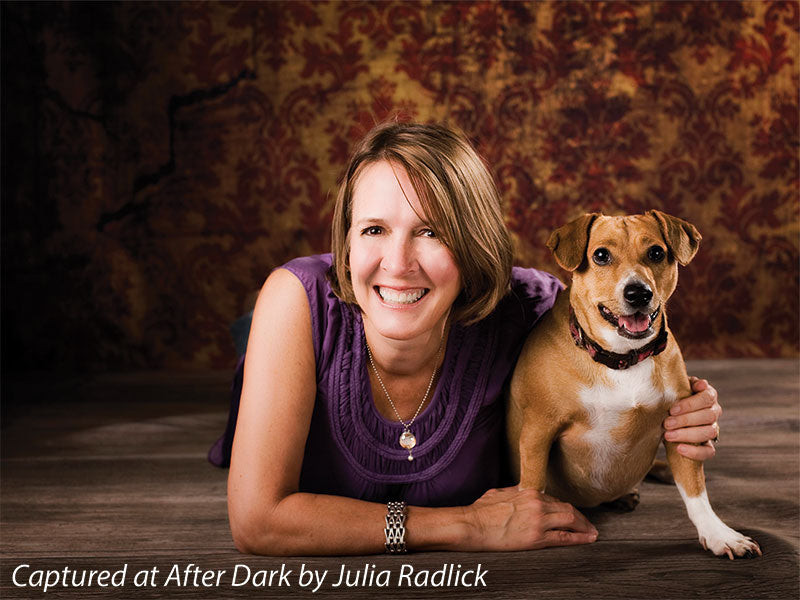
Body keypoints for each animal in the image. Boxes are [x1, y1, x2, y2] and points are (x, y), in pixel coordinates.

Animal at [507, 211, 761, 559]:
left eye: (656, 252)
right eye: (601, 255)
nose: (638, 292)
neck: (622, 359)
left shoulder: (680, 428)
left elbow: (696, 492)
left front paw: (719, 534)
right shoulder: (538, 431)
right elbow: (533, 484)